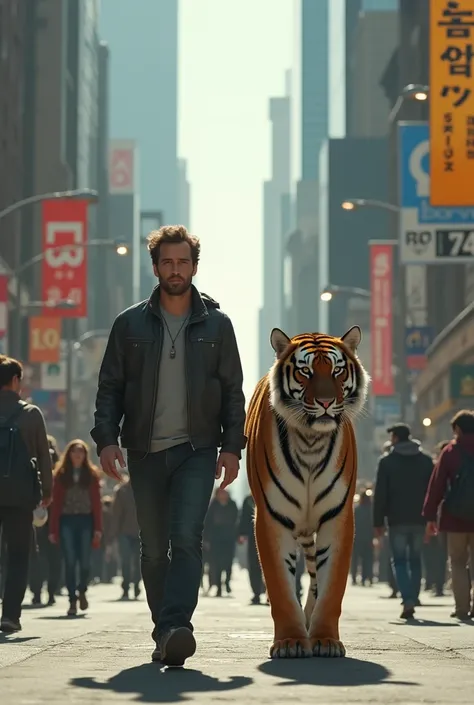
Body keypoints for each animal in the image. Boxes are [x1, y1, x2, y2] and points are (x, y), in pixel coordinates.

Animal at [244, 328, 370, 656]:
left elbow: (331, 585)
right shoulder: (271, 518)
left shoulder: (338, 517)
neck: (311, 441)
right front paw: (289, 641)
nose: (326, 402)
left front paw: (326, 639)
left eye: (337, 371)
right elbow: (280, 586)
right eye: (305, 372)